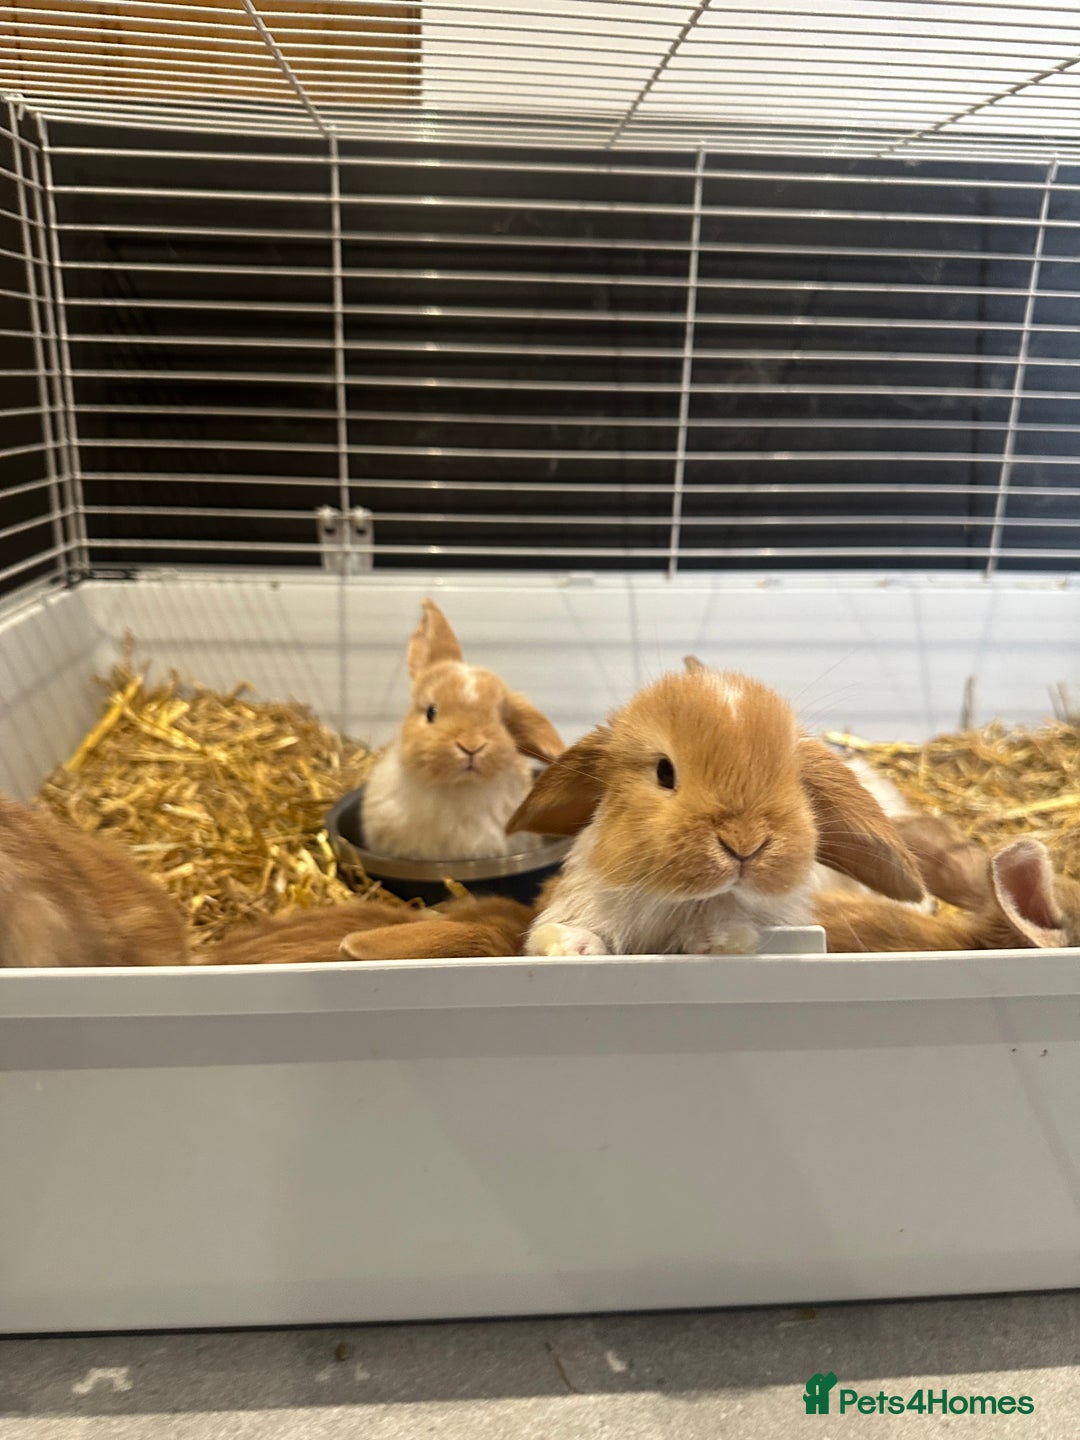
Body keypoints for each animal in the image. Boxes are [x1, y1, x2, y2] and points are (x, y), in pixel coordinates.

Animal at [506, 663, 924, 958]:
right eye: (664, 772)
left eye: (797, 781)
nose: (745, 843)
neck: (677, 900)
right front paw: (572, 946)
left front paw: (724, 938)